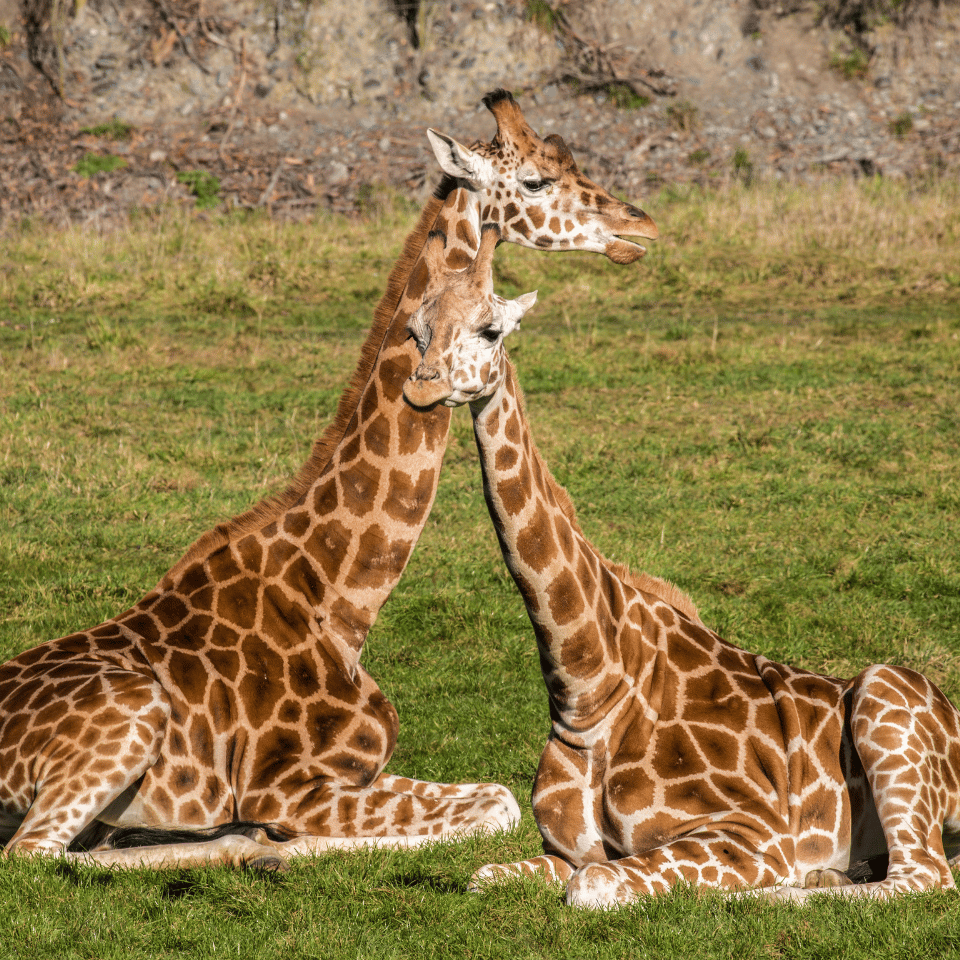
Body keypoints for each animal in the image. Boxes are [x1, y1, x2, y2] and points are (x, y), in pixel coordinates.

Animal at [0, 90, 658, 871]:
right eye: (536, 179)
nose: (639, 227)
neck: (341, 600)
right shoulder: (289, 782)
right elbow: (495, 808)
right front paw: (270, 842)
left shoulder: (358, 770)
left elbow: (493, 796)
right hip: (128, 719)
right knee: (37, 854)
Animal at [402, 226, 960, 908]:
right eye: (416, 330)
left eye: (490, 330)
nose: (422, 388)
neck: (589, 689)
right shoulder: (564, 851)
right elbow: (485, 877)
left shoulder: (750, 833)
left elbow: (592, 887)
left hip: (887, 695)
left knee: (923, 876)